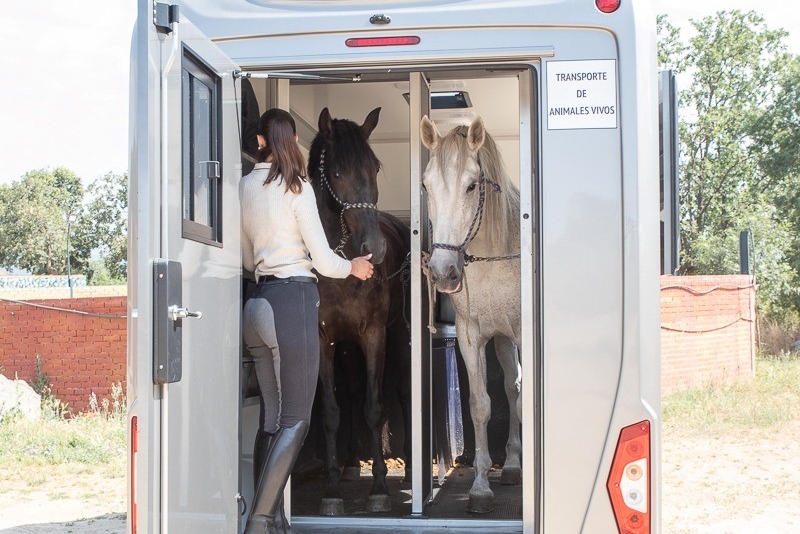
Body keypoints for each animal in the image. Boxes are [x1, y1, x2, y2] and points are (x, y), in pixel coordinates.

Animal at [308, 107, 412, 515]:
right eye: (336, 173)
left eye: (375, 168)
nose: (375, 249)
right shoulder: (324, 339)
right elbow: (333, 411)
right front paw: (332, 491)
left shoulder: (374, 334)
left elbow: (374, 407)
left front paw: (380, 489)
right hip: (347, 346)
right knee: (350, 394)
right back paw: (351, 464)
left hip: (397, 335)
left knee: (400, 391)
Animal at [419, 114, 522, 514]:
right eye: (426, 185)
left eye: (471, 185)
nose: (442, 271)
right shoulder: (470, 335)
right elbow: (480, 405)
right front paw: (479, 488)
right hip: (502, 339)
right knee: (511, 388)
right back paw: (511, 465)